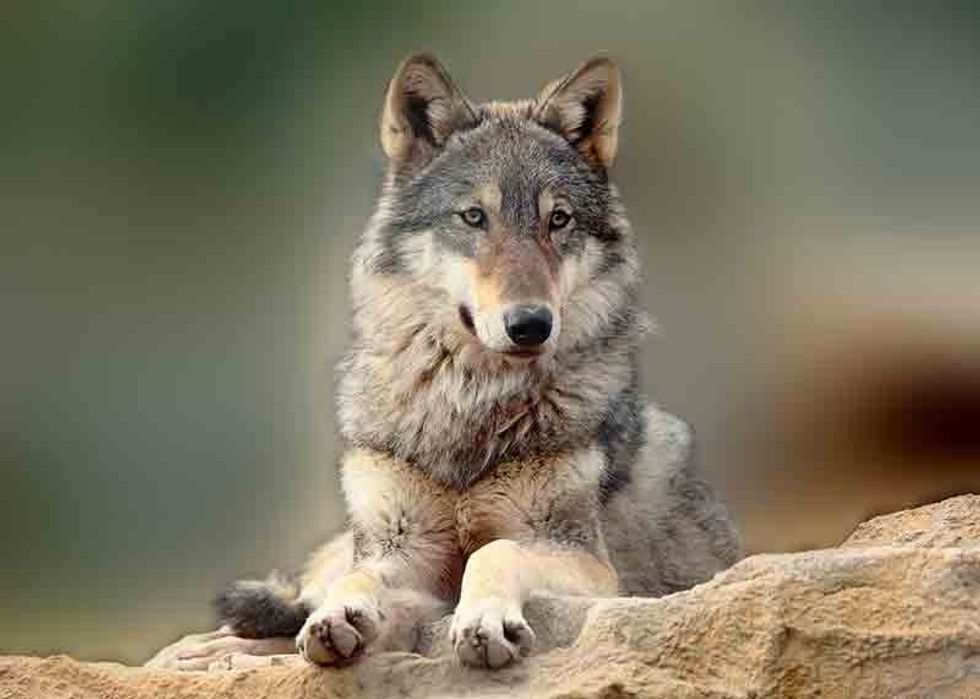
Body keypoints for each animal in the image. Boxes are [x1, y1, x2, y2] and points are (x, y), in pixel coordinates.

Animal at [147, 53, 739, 672]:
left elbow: (496, 550)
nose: (531, 324)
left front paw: (484, 621)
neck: (467, 403)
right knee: (297, 599)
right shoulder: (401, 550)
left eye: (559, 220)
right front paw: (338, 618)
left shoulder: (587, 562)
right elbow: (357, 580)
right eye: (474, 217)